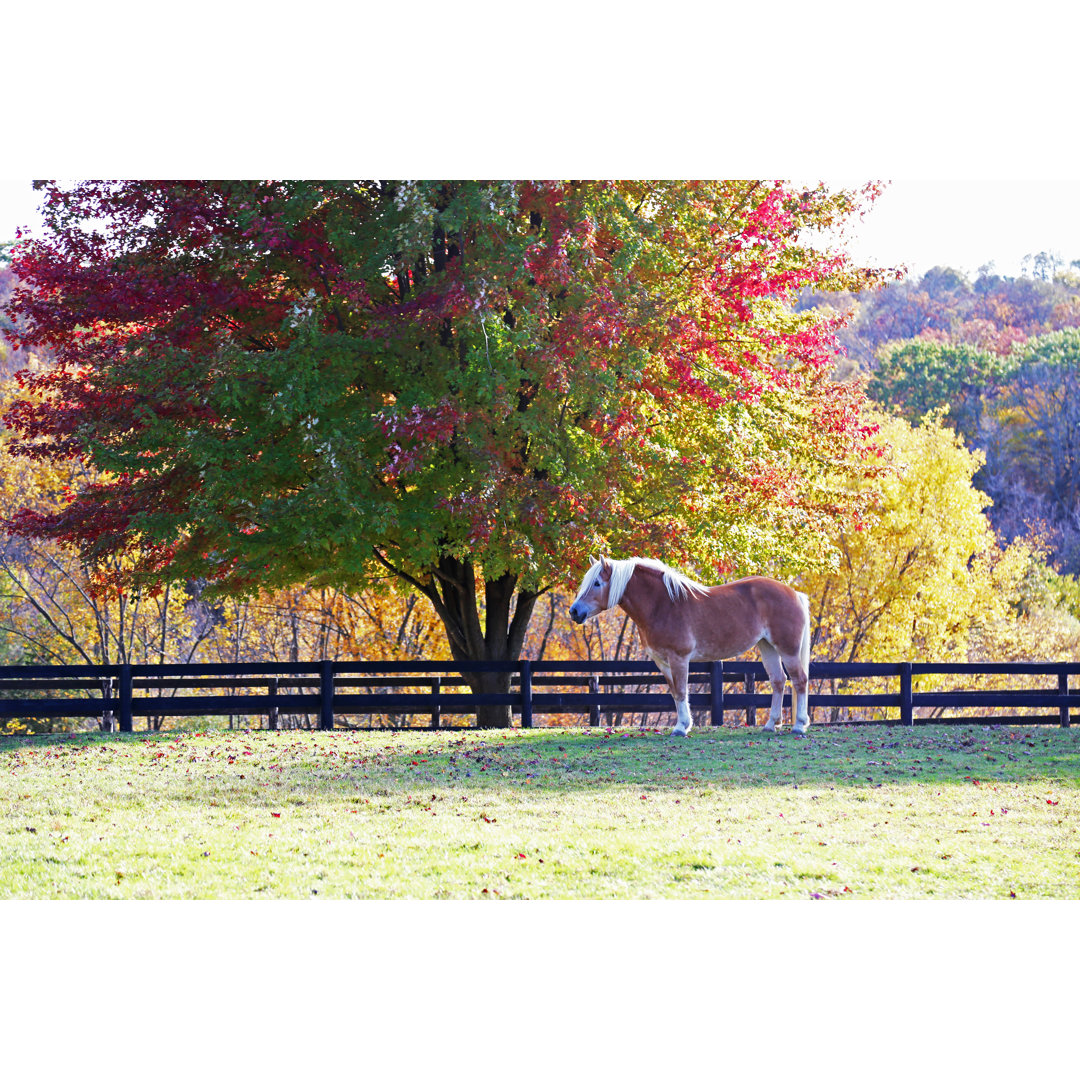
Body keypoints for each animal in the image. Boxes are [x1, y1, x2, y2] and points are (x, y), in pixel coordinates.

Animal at [574, 557, 812, 734]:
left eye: (597, 583)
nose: (574, 611)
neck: (663, 605)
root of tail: (794, 593)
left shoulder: (679, 658)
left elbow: (681, 691)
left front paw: (681, 728)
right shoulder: (662, 662)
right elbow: (674, 692)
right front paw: (683, 725)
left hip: (788, 650)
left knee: (799, 680)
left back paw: (799, 726)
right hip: (767, 647)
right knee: (778, 681)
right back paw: (771, 725)